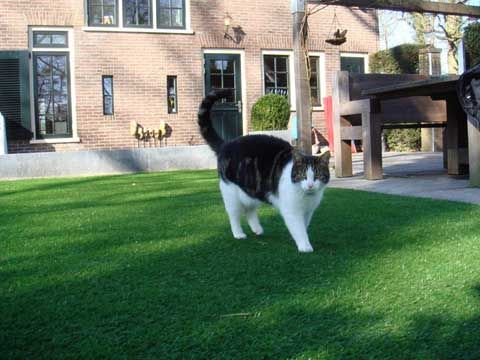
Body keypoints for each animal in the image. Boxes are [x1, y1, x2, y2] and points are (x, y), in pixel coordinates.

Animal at [196, 91, 330, 252]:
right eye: (303, 175)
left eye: (317, 176)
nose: (310, 185)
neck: (306, 196)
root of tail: (226, 144)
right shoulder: (292, 211)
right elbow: (298, 228)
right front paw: (305, 246)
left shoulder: (308, 212)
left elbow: (304, 226)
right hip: (231, 193)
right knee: (234, 214)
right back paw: (238, 233)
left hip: (251, 190)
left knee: (249, 210)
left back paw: (257, 229)